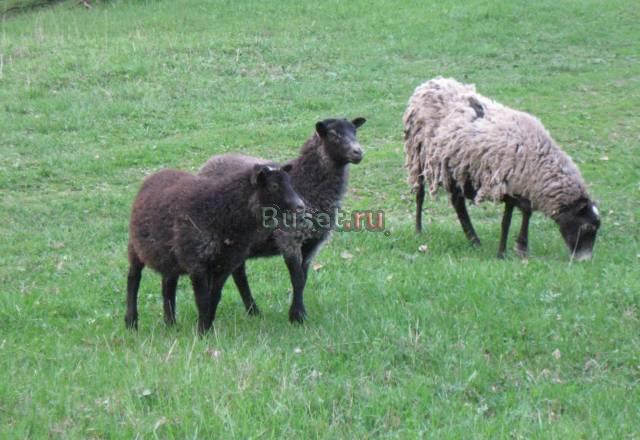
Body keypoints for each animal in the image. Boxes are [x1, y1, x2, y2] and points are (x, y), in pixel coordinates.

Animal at [125, 163, 305, 334]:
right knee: (133, 278)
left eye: (290, 183)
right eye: (274, 185)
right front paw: (202, 332)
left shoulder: (226, 264)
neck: (220, 208)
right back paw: (131, 323)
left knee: (168, 285)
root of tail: (156, 174)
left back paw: (170, 324)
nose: (300, 206)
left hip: (169, 255)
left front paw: (208, 327)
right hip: (135, 246)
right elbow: (202, 299)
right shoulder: (197, 261)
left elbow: (214, 297)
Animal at [199, 117, 366, 322]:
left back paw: (253, 311)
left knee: (238, 273)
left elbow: (303, 278)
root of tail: (208, 164)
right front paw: (297, 316)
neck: (306, 183)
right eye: (333, 134)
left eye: (354, 132)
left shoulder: (313, 243)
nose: (358, 152)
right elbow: (297, 278)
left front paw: (298, 313)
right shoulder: (289, 238)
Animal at [404, 77, 600, 260]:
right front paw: (502, 253)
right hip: (418, 154)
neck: (538, 160)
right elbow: (506, 222)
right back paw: (419, 229)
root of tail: (429, 84)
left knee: (457, 202)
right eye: (587, 226)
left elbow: (526, 213)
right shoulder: (507, 186)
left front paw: (521, 247)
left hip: (455, 168)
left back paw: (473, 240)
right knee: (420, 193)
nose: (584, 260)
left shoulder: (520, 187)